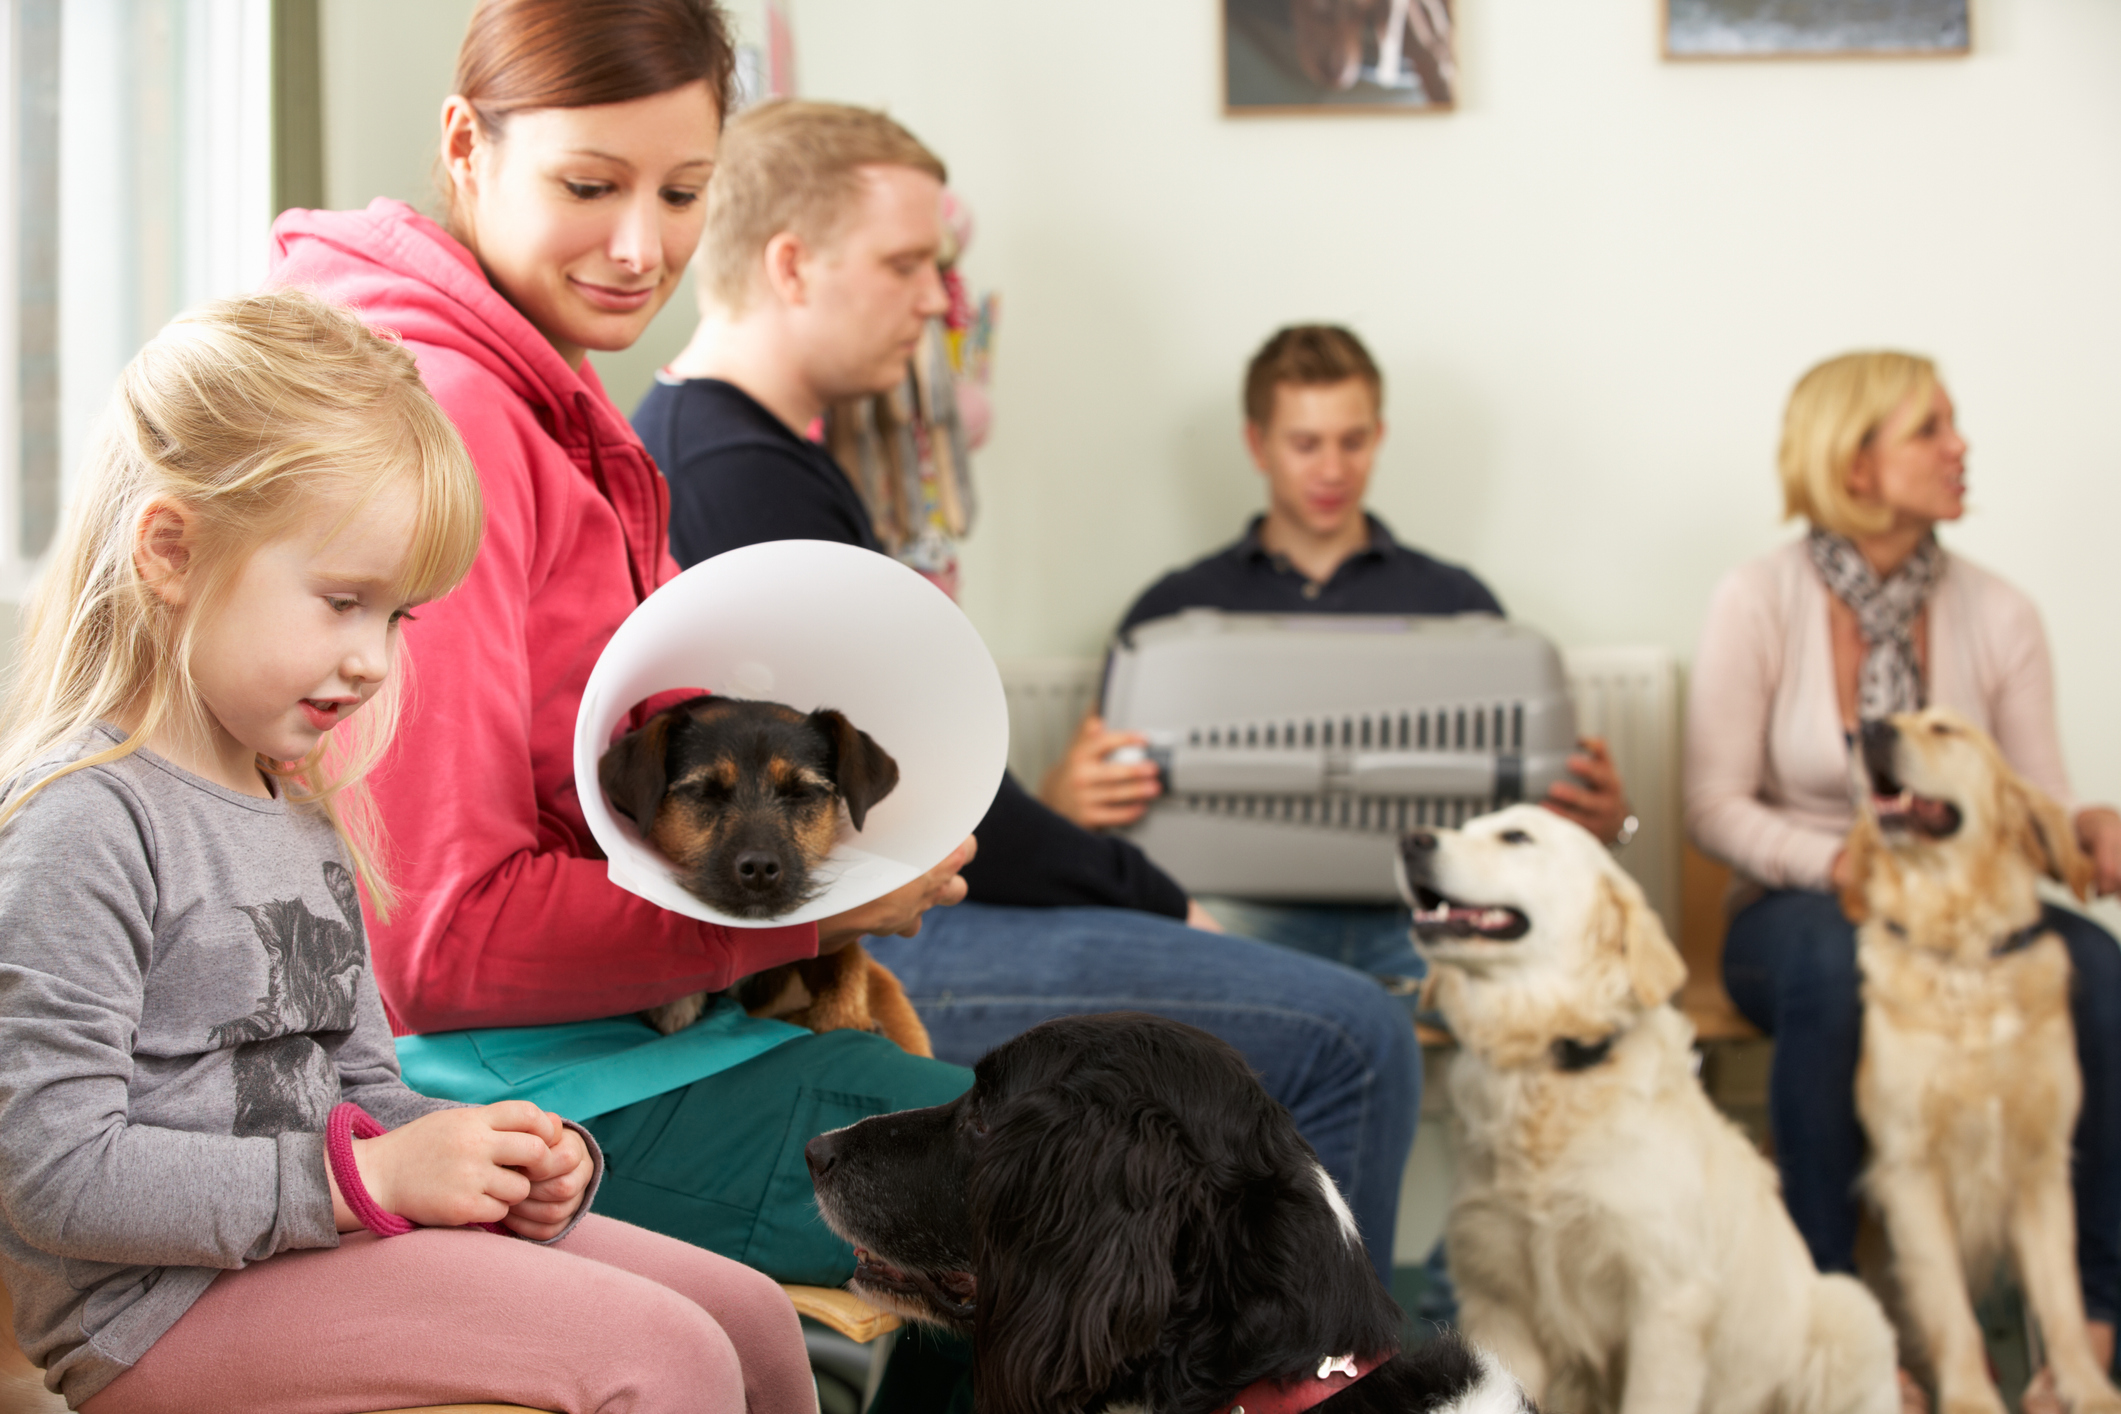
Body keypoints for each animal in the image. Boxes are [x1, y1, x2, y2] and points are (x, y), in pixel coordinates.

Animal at [598, 691, 928, 1055]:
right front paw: (674, 1001)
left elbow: (845, 971)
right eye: (704, 792)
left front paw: (847, 1018)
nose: (758, 868)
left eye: (802, 793)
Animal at [1399, 805, 1900, 1414]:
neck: (1552, 1065)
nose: (1410, 840)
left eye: (1516, 836)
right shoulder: (1499, 1302)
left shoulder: (1666, 1305)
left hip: (1850, 1314)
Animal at [1841, 712, 2121, 1407]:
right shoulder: (1910, 1171)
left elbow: (2063, 1301)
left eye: (1946, 728)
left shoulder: (2042, 1166)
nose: (1868, 727)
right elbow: (1950, 1309)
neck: (1964, 959)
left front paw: (2087, 1389)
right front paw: (1970, 1398)